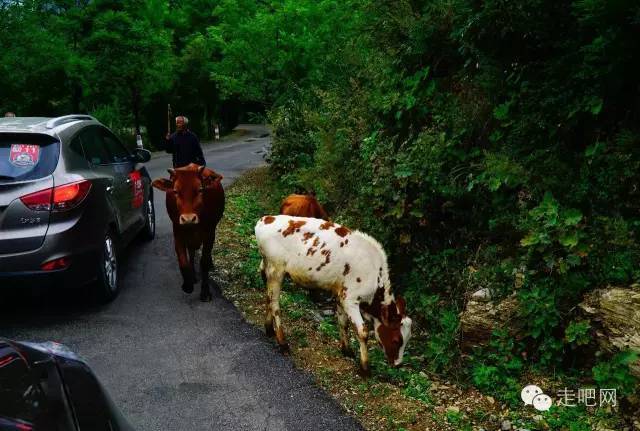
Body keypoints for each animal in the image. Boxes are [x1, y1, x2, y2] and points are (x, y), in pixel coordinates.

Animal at [152, 164, 225, 302]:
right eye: (175, 191)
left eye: (200, 189)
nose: (188, 218)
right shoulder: (177, 233)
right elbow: (183, 261)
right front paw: (188, 284)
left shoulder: (209, 234)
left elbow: (204, 262)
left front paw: (205, 292)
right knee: (191, 252)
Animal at [252, 216, 412, 374]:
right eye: (397, 340)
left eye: (407, 339)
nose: (398, 364)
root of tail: (265, 219)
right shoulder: (350, 299)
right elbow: (362, 332)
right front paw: (365, 368)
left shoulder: (340, 295)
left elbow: (343, 322)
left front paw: (346, 350)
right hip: (276, 270)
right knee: (275, 304)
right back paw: (283, 342)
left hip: (267, 268)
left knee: (268, 298)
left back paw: (269, 329)